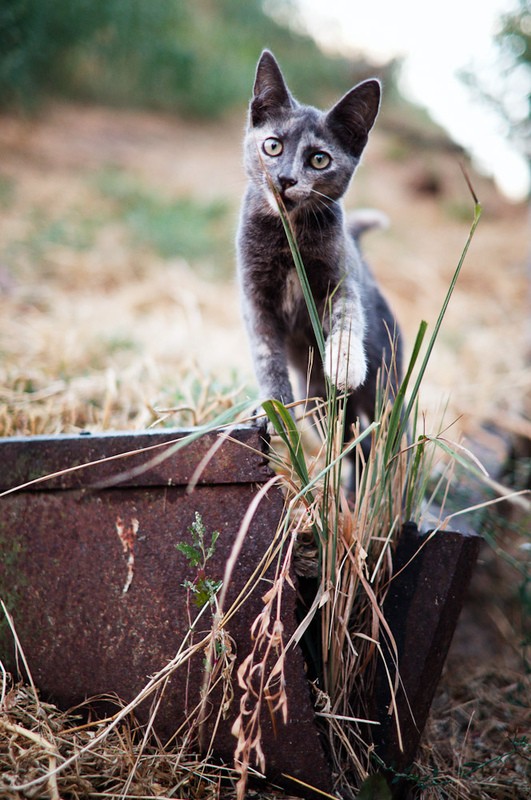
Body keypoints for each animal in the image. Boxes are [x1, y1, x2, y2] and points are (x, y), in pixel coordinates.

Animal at [238, 50, 404, 450]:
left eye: (319, 159)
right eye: (272, 146)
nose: (285, 179)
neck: (290, 239)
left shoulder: (339, 281)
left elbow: (347, 316)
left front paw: (344, 365)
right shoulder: (256, 300)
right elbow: (266, 356)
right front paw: (273, 409)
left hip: (388, 387)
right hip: (317, 401)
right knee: (350, 444)